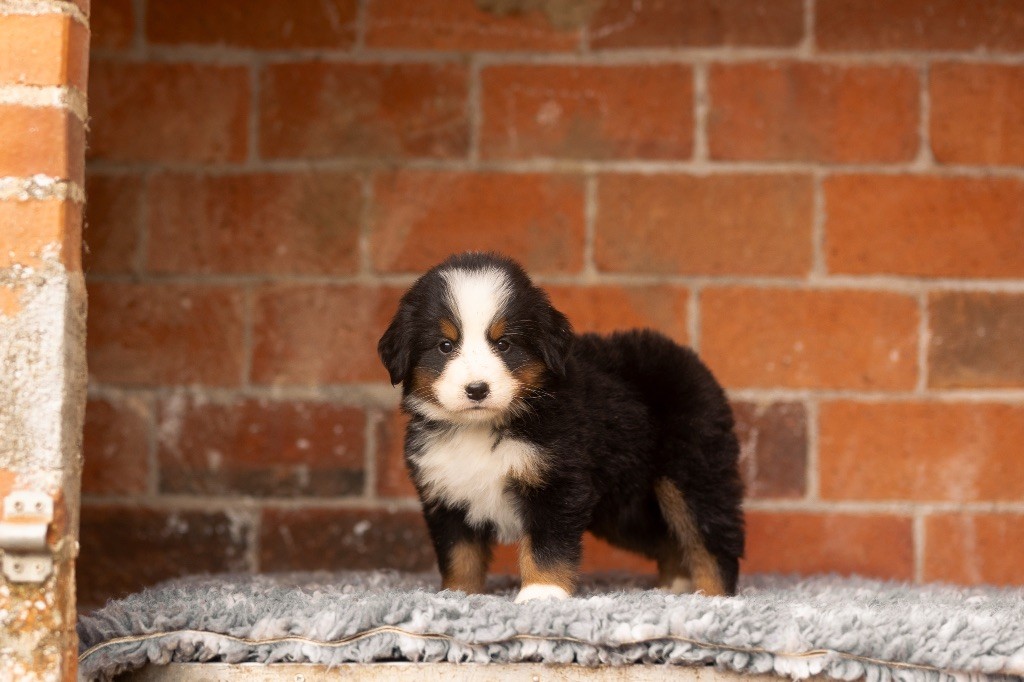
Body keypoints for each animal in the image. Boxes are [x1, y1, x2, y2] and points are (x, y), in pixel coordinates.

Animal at [376, 250, 745, 602]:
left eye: (504, 344)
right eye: (445, 345)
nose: (477, 389)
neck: (482, 428)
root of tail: (689, 359)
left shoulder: (557, 482)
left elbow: (546, 546)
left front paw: (542, 593)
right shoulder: (448, 494)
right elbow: (459, 555)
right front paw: (458, 594)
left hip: (692, 474)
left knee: (711, 538)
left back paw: (711, 596)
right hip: (626, 507)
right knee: (667, 537)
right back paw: (675, 586)